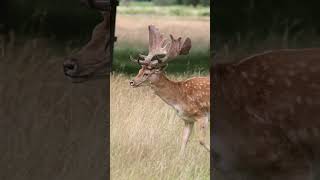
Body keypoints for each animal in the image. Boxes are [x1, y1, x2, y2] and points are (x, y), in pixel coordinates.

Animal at [129, 24, 210, 153]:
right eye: (139, 70)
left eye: (146, 73)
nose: (131, 82)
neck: (179, 99)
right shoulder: (187, 119)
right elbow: (184, 140)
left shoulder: (202, 115)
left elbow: (201, 141)